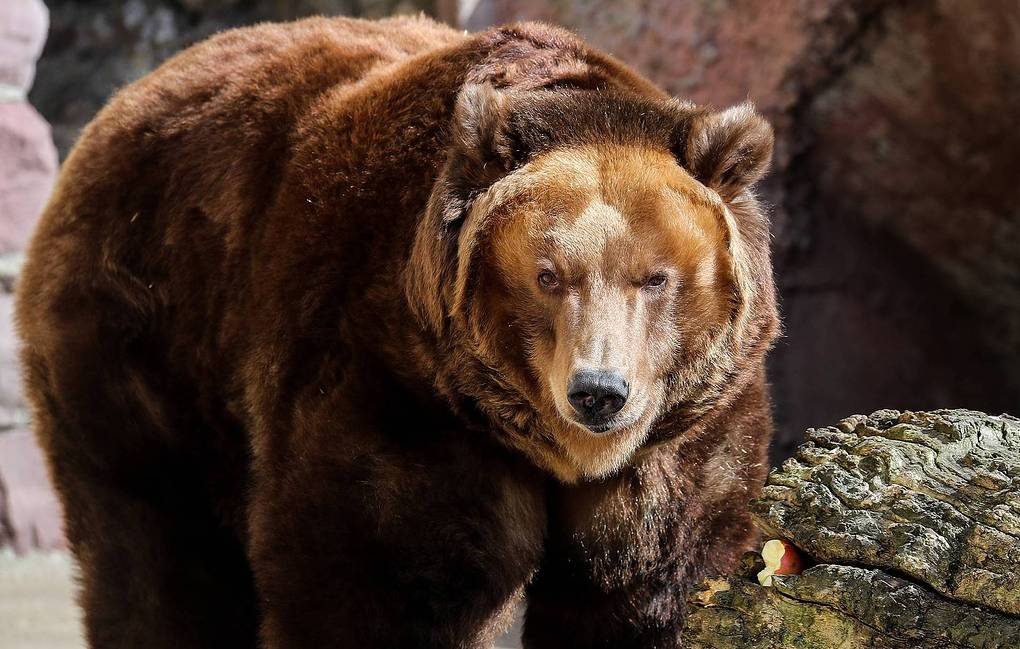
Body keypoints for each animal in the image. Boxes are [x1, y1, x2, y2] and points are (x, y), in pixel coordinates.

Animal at [15, 13, 775, 649]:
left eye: (656, 277)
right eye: (548, 275)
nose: (598, 392)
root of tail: (131, 97)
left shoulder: (682, 437)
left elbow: (647, 586)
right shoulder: (397, 386)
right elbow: (382, 579)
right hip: (143, 348)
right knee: (156, 553)